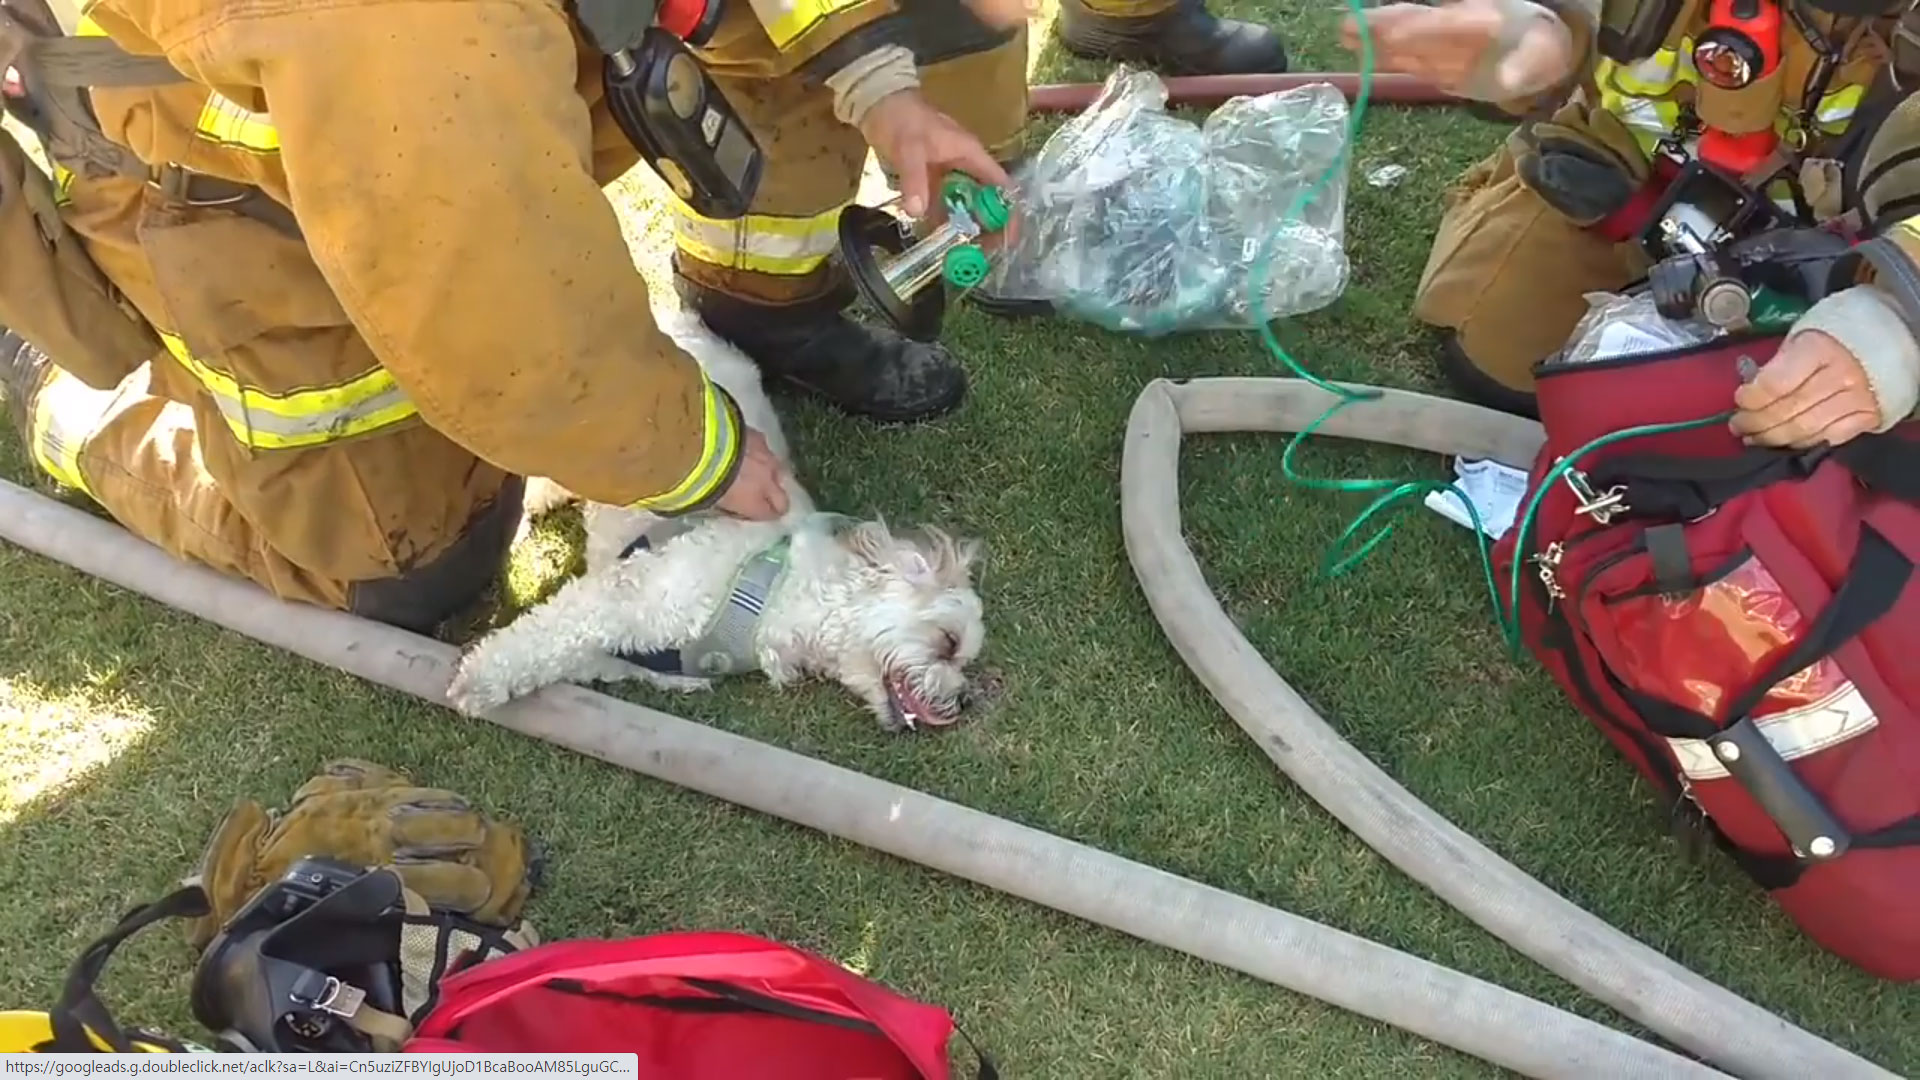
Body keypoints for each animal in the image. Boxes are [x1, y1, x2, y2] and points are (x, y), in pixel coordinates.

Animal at [445, 297, 990, 726]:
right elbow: (543, 633)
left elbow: (569, 656)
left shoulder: (623, 657)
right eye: (947, 644)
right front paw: (480, 677)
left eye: (962, 662)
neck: (774, 597)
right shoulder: (631, 594)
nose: (962, 700)